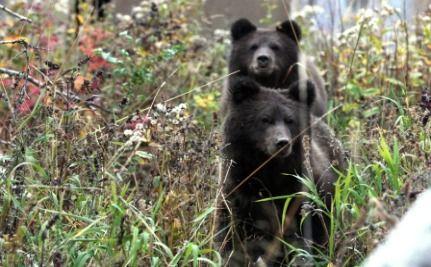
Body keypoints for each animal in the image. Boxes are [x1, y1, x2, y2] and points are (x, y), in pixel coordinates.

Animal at [218, 76, 346, 266]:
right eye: (265, 119)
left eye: (290, 120)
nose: (282, 142)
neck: (269, 169)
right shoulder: (238, 190)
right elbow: (232, 236)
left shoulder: (301, 190)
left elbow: (307, 234)